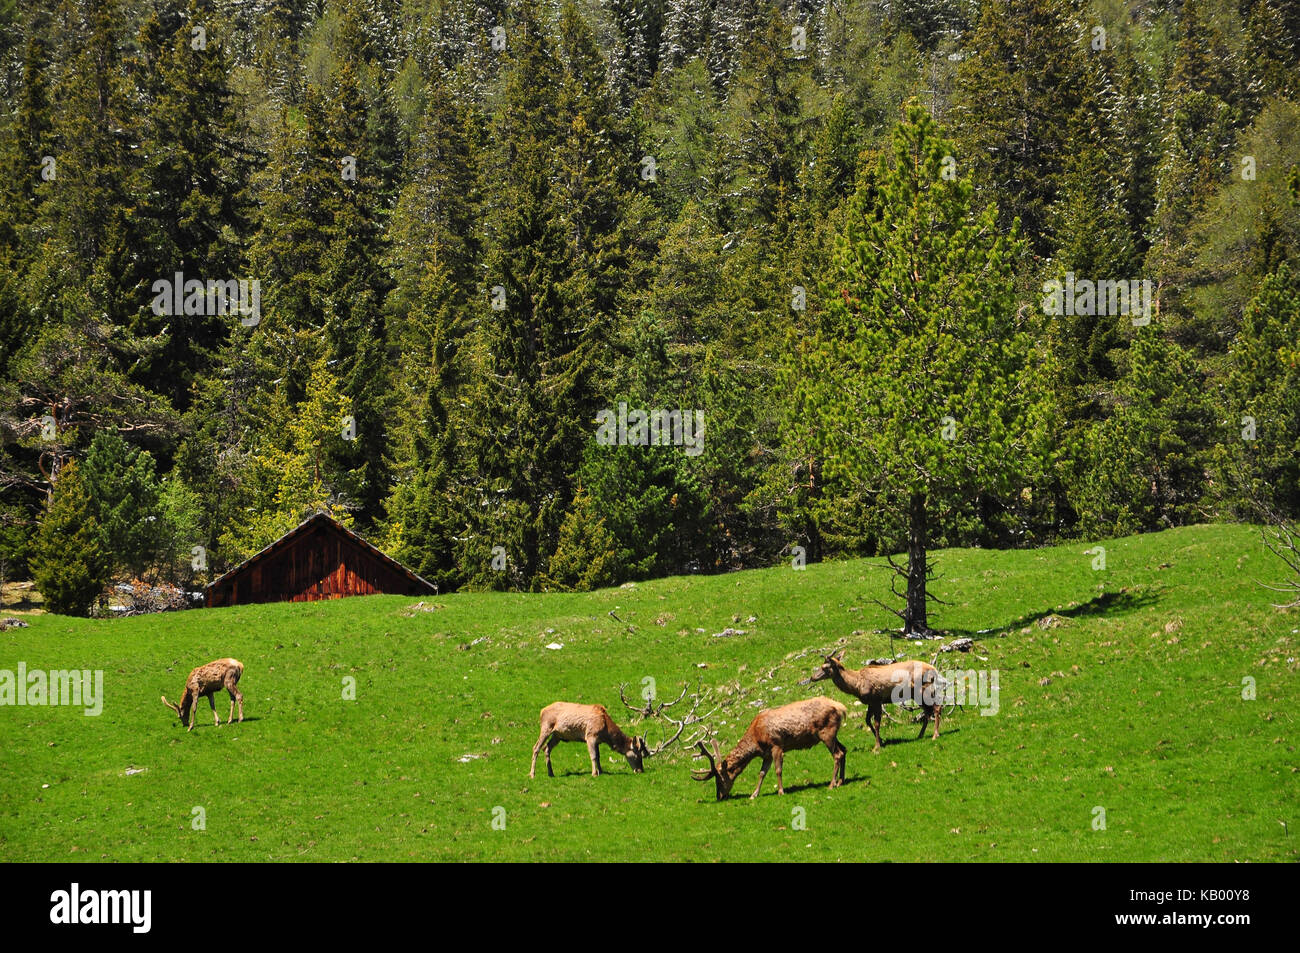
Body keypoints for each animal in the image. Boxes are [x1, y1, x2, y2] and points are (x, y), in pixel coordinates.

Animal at [686, 696, 847, 800]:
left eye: (719, 779)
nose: (719, 796)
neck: (756, 739)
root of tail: (841, 708)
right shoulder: (766, 754)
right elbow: (762, 773)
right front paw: (754, 794)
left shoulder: (776, 745)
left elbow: (778, 770)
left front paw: (781, 791)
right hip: (832, 734)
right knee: (844, 750)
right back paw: (841, 781)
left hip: (827, 732)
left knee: (837, 754)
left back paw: (832, 784)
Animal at [806, 647, 941, 748]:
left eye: (824, 667)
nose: (812, 677)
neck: (856, 685)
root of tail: (934, 669)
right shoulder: (870, 702)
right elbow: (867, 721)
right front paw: (881, 740)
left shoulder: (876, 699)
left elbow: (876, 723)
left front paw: (877, 746)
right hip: (916, 694)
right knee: (927, 711)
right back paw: (920, 735)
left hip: (924, 688)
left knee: (936, 708)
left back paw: (935, 735)